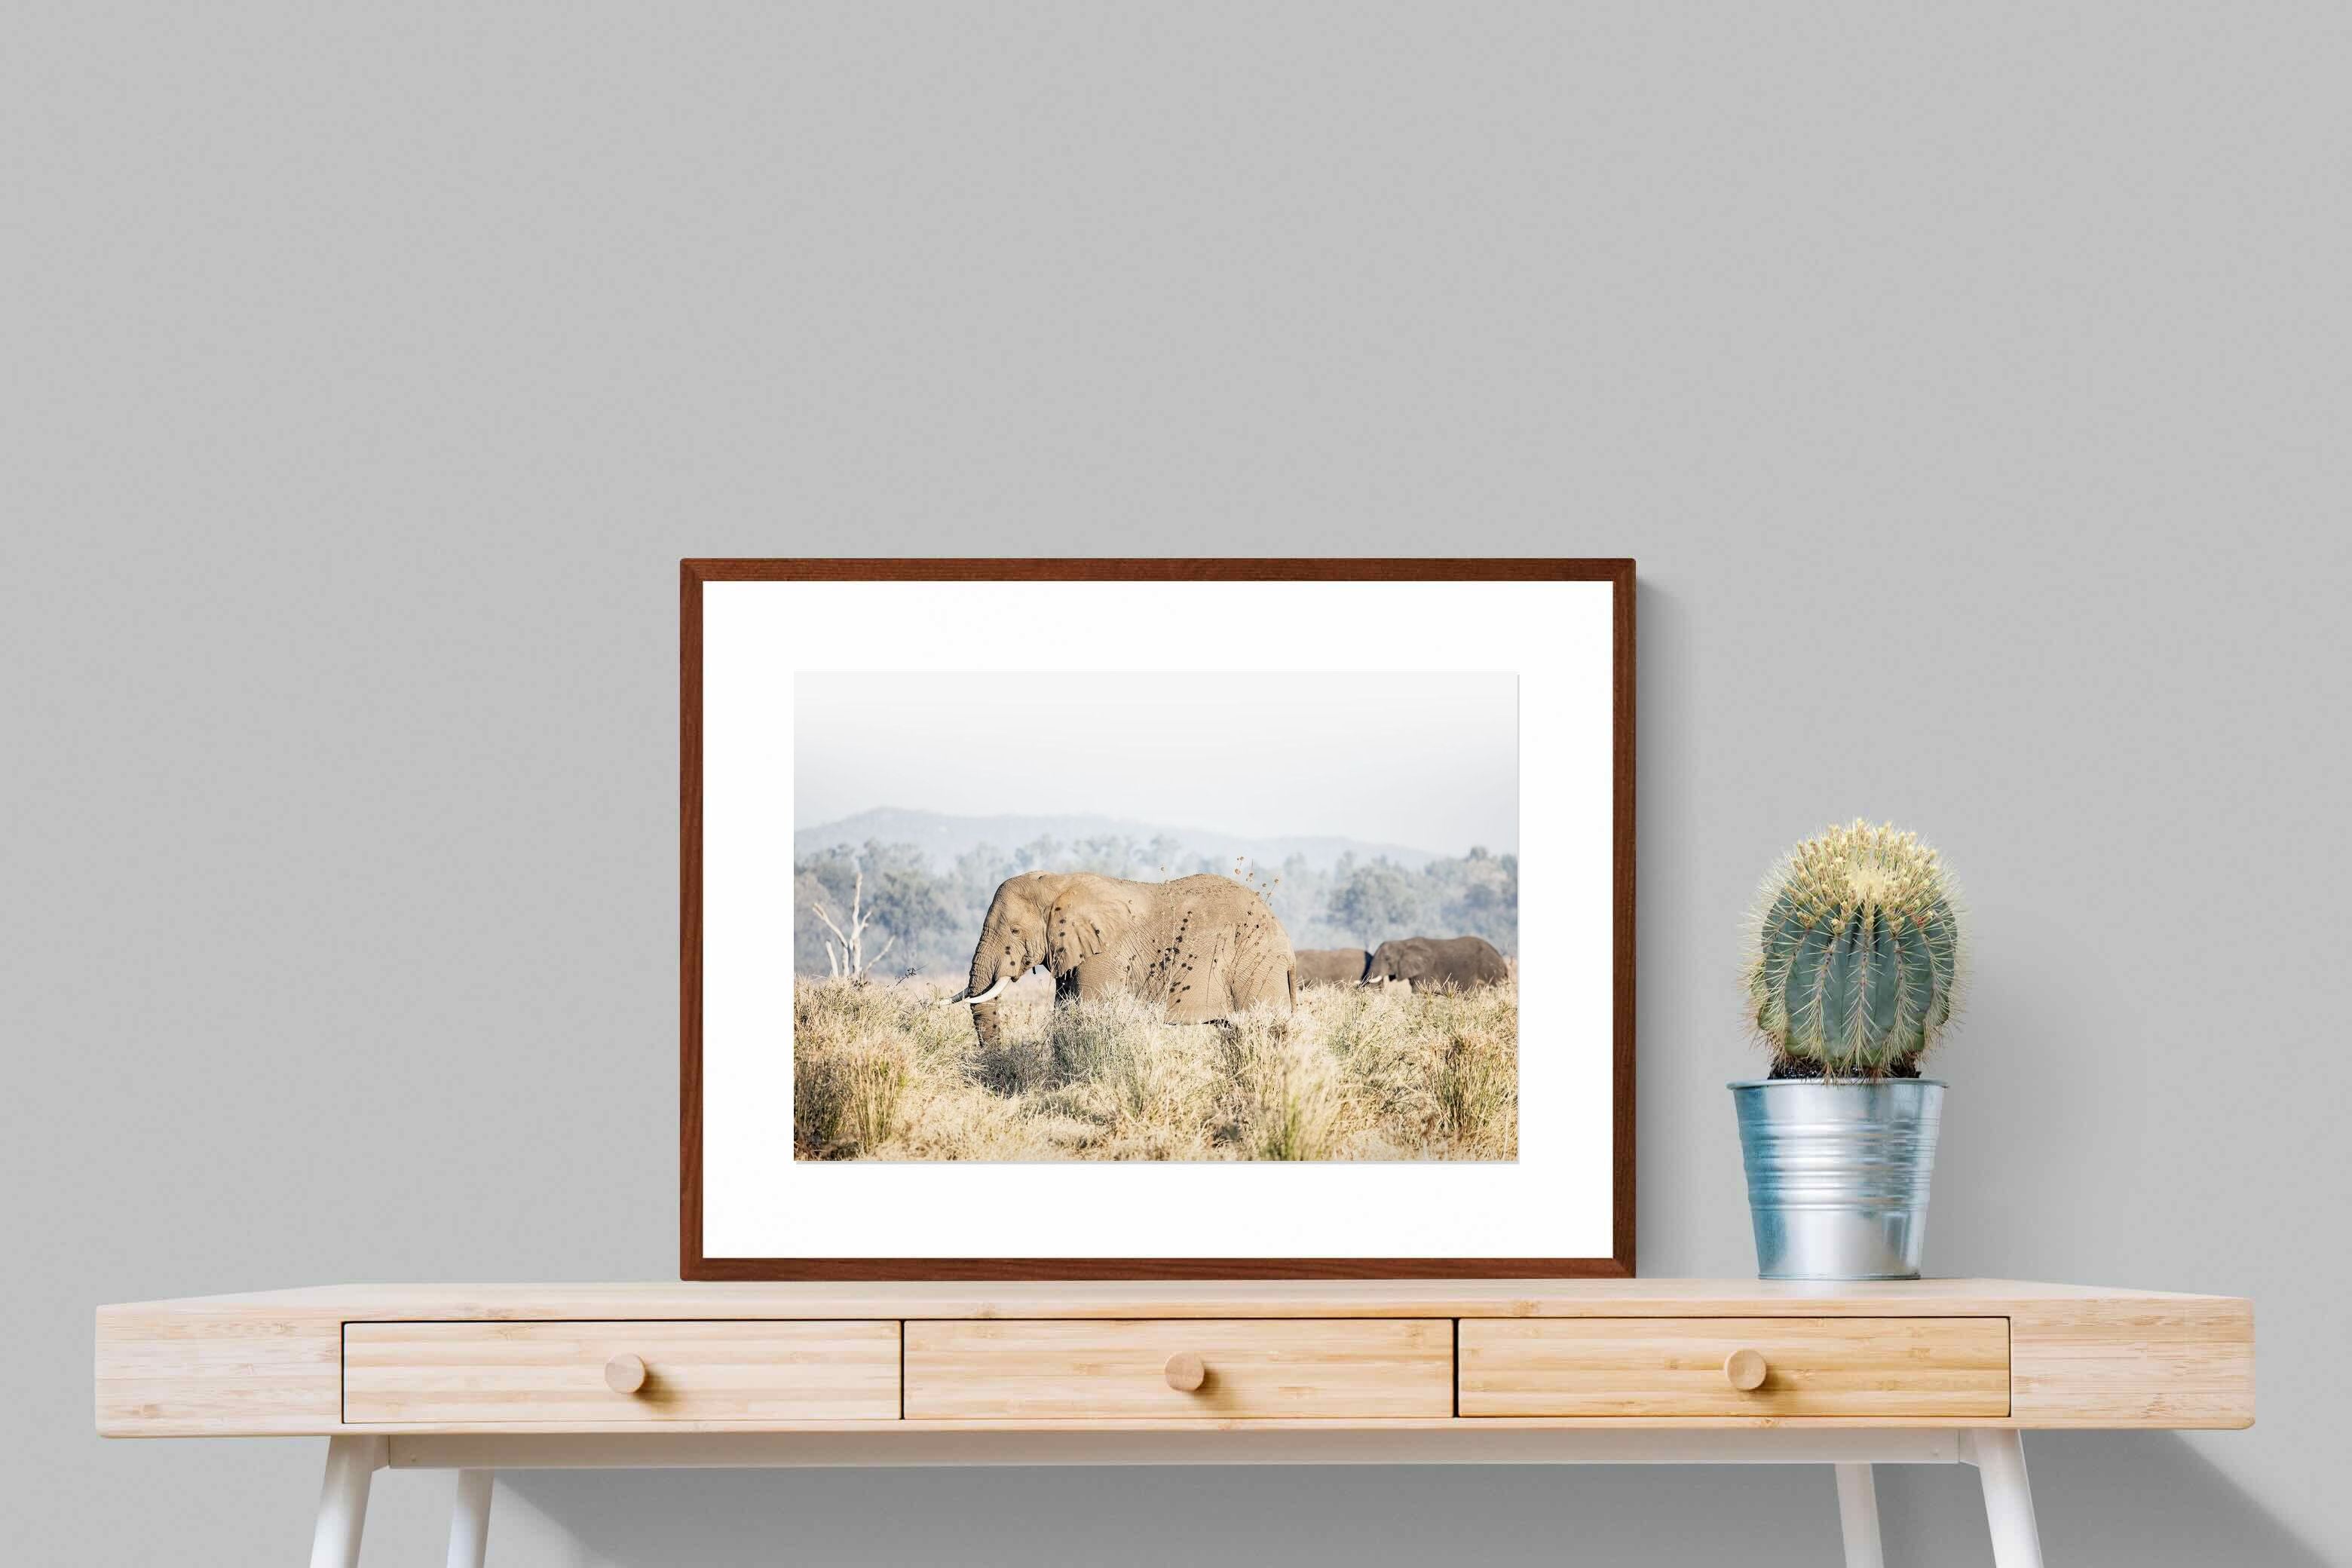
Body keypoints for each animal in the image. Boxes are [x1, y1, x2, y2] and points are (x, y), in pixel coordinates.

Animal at [939, 871, 1297, 1047]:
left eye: (1014, 930)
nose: (996, 1064)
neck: (1059, 883)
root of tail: (1287, 946)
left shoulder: (1105, 953)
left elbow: (1088, 1012)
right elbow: (1066, 1012)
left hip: (1255, 966)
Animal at [1361, 934, 1510, 993]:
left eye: (1387, 958)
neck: (1403, 942)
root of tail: (1502, 960)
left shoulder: (1426, 970)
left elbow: (1419, 992)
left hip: (1490, 972)